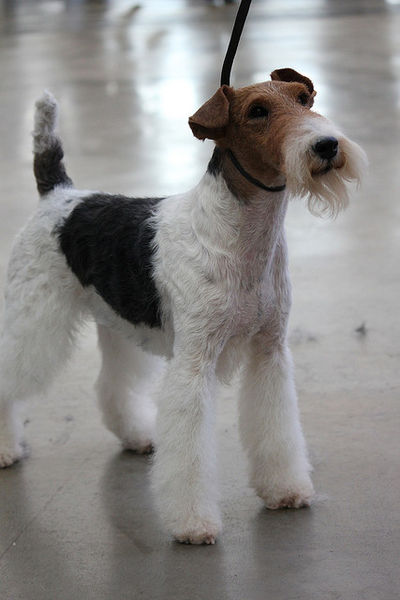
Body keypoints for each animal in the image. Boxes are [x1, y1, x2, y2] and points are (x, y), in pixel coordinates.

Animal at [0, 67, 368, 544]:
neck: (242, 237)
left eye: (304, 98)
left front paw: (285, 489)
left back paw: (137, 436)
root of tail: (58, 194)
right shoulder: (194, 362)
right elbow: (189, 455)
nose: (326, 146)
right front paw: (193, 525)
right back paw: (7, 449)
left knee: (112, 386)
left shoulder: (269, 352)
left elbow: (277, 428)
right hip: (34, 315)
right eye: (258, 111)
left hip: (118, 323)